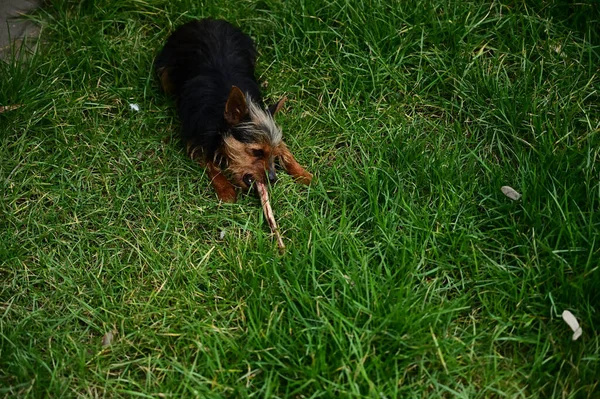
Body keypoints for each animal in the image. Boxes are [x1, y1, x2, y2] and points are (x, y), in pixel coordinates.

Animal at [155, 18, 312, 203]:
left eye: (273, 154)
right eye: (257, 152)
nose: (273, 179)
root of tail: (204, 21)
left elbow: (285, 150)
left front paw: (303, 173)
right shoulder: (196, 139)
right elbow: (211, 165)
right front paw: (226, 190)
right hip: (165, 74)